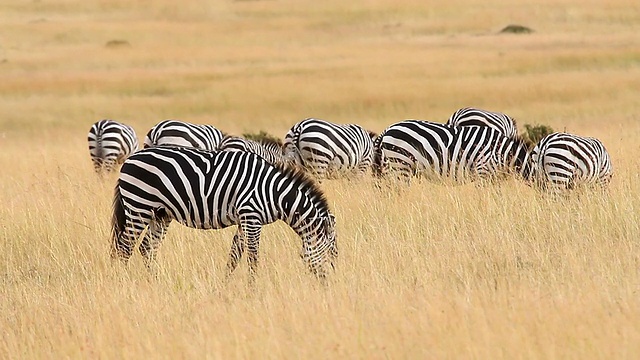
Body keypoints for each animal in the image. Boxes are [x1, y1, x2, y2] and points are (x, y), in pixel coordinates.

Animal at [112, 145, 338, 282]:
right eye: (330, 253)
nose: (328, 285)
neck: (274, 192)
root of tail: (130, 159)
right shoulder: (251, 216)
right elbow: (252, 257)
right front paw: (253, 289)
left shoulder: (244, 220)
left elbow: (234, 256)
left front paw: (224, 284)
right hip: (139, 205)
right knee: (124, 248)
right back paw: (124, 282)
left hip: (160, 214)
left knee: (146, 248)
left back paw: (157, 281)